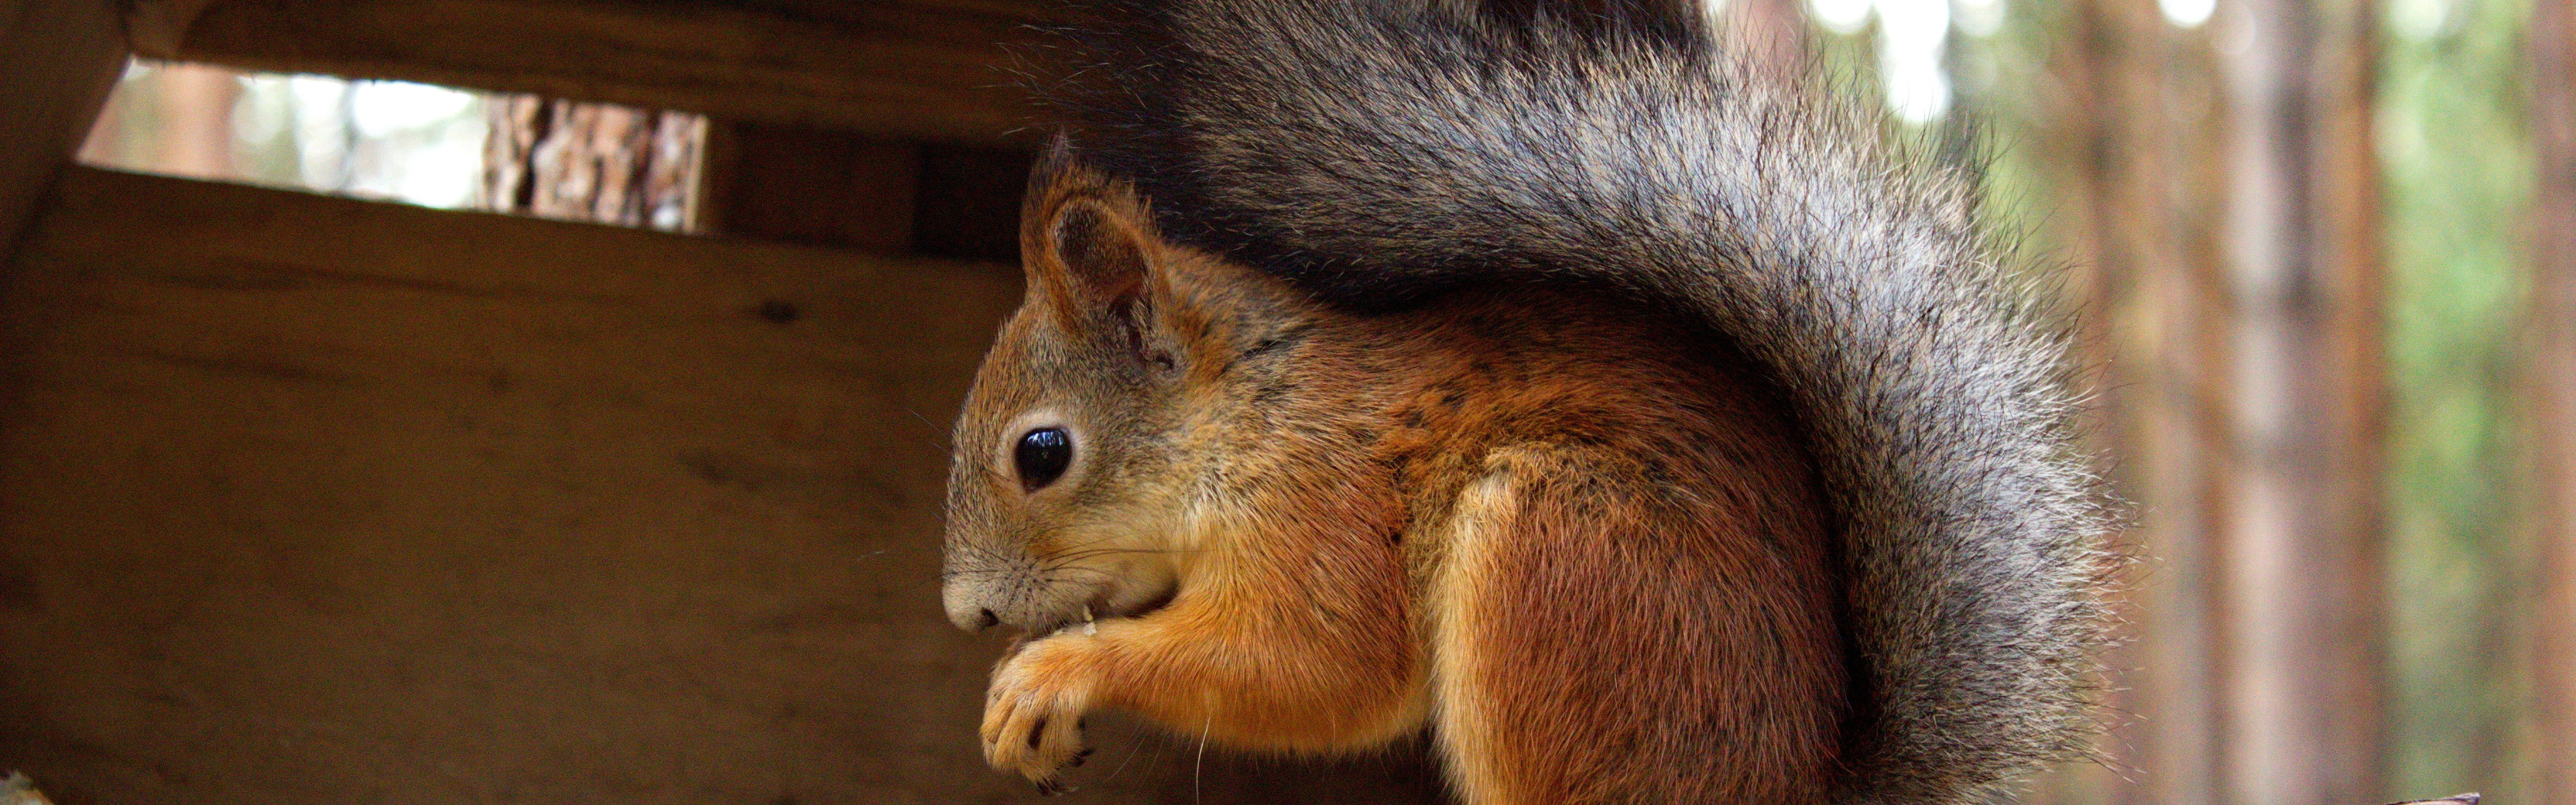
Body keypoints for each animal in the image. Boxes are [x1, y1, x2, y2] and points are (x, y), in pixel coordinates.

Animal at [938, 3, 2122, 800]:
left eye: (1041, 452)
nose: (967, 614)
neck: (1250, 418)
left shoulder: (1322, 518)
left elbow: (1313, 669)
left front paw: (1050, 673)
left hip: (1554, 550)